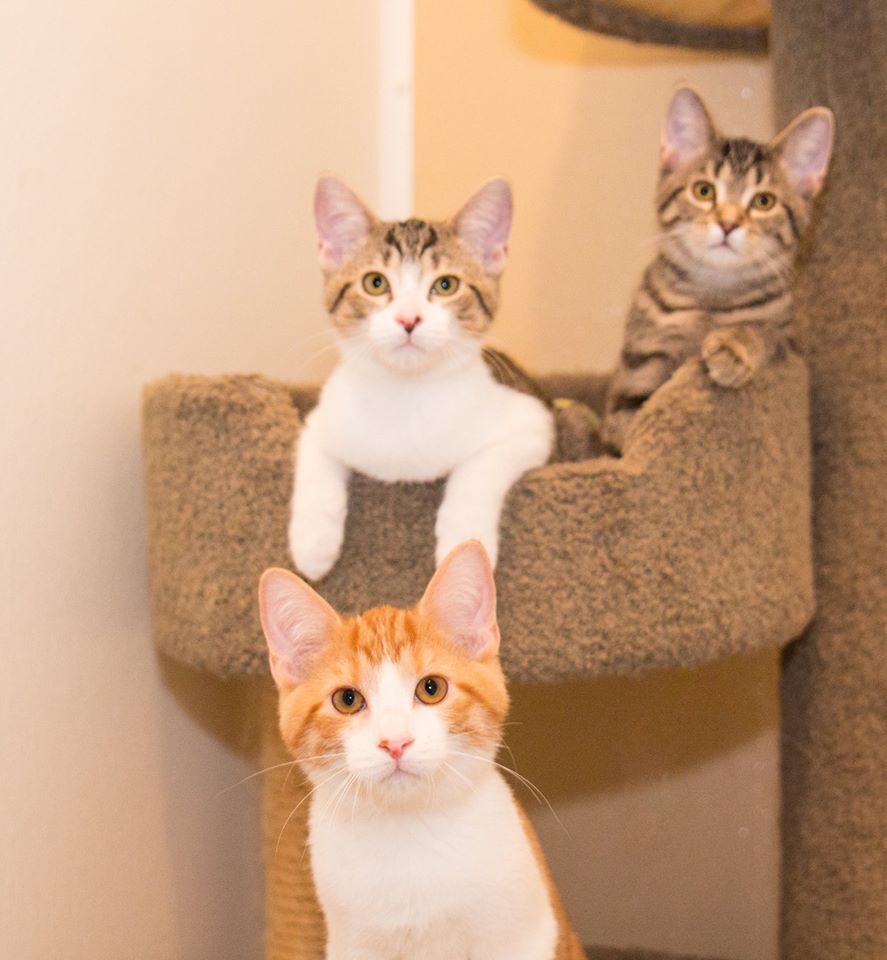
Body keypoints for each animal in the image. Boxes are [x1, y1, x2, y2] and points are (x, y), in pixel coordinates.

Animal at [260, 544, 588, 956]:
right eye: (347, 699)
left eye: (431, 688)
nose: (395, 742)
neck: (409, 837)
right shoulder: (350, 944)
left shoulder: (525, 937)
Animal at [604, 86, 832, 454]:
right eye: (704, 191)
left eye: (763, 201)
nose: (727, 223)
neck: (712, 296)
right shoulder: (638, 366)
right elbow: (629, 425)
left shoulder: (790, 346)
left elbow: (764, 332)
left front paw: (735, 345)